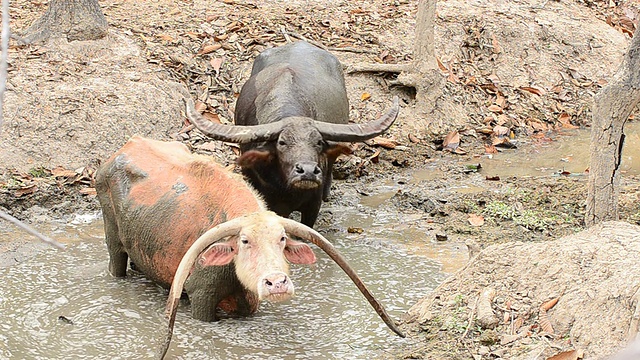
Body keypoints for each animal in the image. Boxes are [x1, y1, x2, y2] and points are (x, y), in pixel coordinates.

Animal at [94, 137, 404, 358]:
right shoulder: (201, 297)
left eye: (281, 239)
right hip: (112, 236)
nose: (277, 283)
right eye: (244, 241)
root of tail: (123, 149)